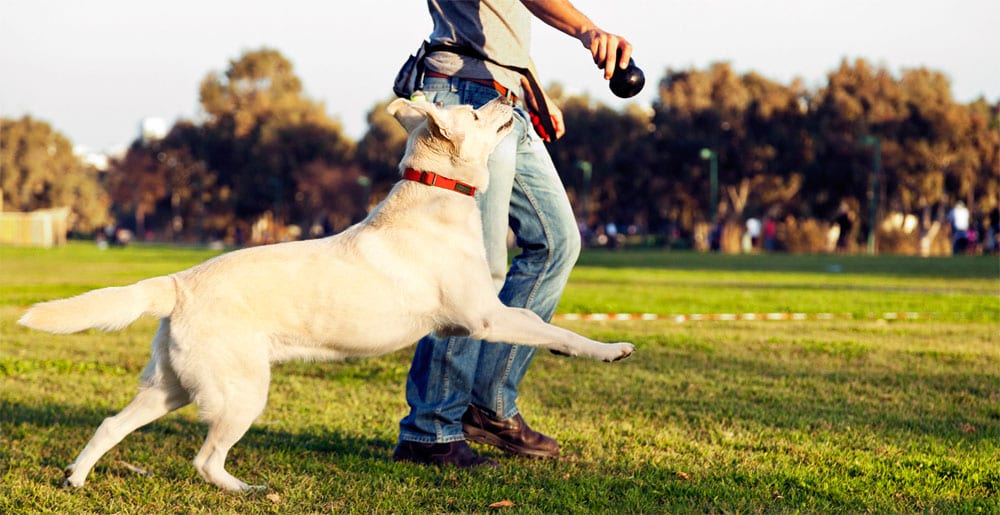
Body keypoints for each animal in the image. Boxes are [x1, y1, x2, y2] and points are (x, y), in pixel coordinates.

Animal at [17, 97, 632, 492]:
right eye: (477, 113)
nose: (510, 95)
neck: (436, 195)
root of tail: (178, 283)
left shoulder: (478, 320)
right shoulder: (486, 317)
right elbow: (551, 328)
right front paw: (609, 350)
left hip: (172, 387)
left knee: (110, 424)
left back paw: (76, 478)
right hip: (241, 393)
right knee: (204, 459)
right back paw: (247, 491)